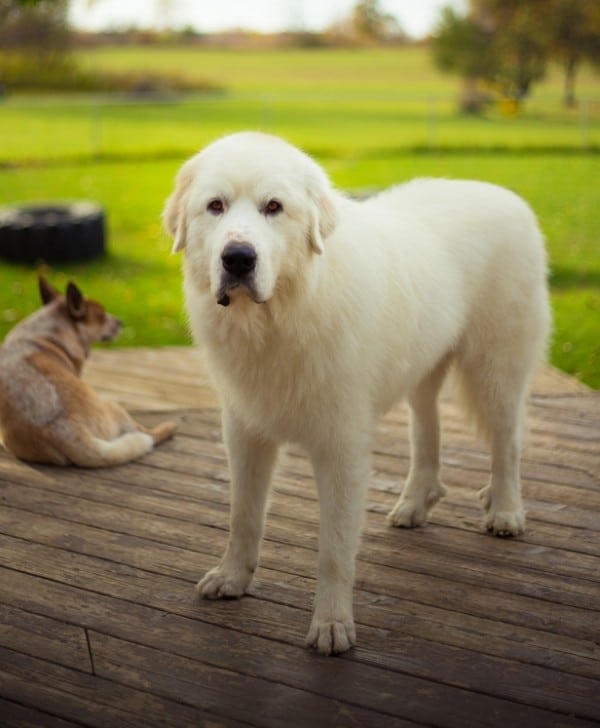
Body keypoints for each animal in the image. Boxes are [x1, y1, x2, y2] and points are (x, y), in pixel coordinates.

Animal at [0, 278, 177, 466]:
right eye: (102, 316)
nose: (120, 322)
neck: (49, 332)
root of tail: (68, 431)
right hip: (113, 405)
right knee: (146, 435)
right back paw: (168, 428)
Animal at [163, 132, 548, 660]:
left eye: (273, 207)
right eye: (215, 206)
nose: (238, 257)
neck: (283, 315)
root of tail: (507, 196)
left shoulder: (340, 448)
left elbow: (334, 549)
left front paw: (331, 625)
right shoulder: (245, 432)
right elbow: (243, 516)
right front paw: (233, 577)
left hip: (496, 370)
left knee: (507, 442)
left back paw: (506, 510)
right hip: (421, 369)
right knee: (427, 433)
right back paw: (416, 503)